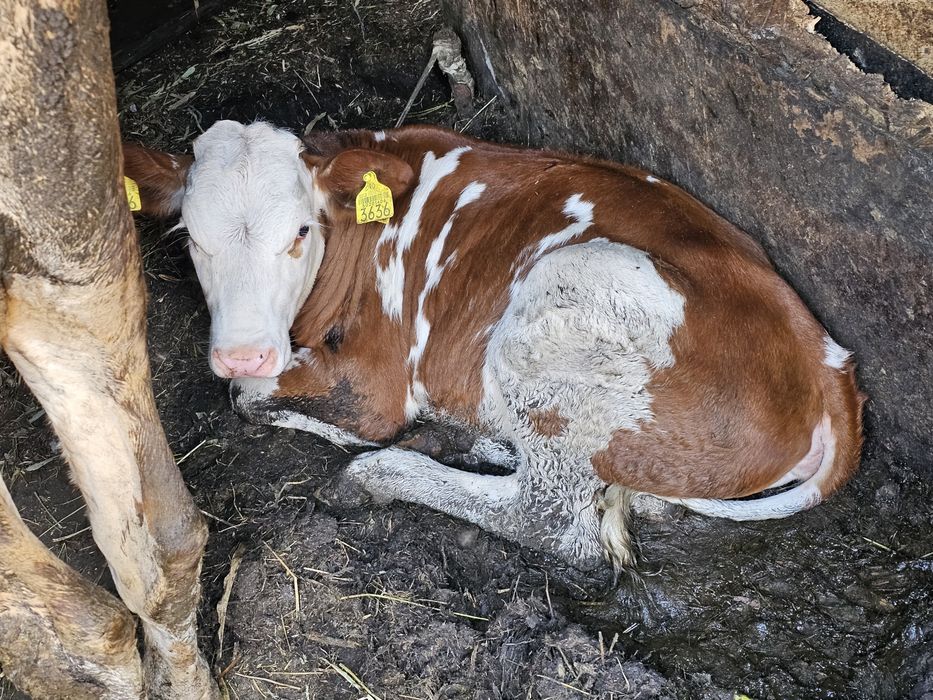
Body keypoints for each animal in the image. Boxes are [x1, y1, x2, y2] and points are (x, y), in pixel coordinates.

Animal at [124, 119, 864, 572]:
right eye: (188, 235)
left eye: (301, 231)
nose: (242, 350)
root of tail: (827, 361)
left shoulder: (374, 384)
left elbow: (253, 399)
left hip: (567, 301)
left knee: (554, 522)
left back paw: (384, 472)